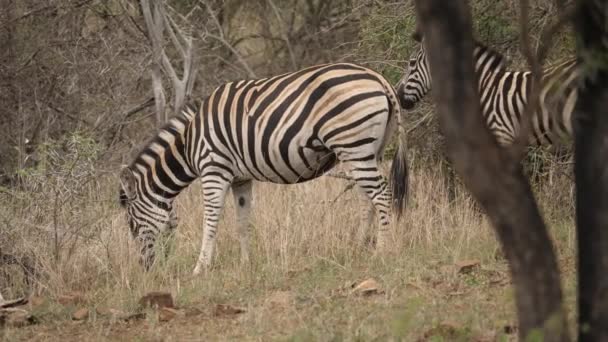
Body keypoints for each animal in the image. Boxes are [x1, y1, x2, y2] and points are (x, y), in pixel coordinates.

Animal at [119, 62, 408, 276]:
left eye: (132, 224)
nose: (145, 269)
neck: (190, 143)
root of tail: (377, 78)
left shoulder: (214, 169)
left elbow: (210, 220)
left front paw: (200, 268)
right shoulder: (240, 179)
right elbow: (242, 221)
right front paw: (246, 264)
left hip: (353, 145)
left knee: (382, 195)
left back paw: (382, 251)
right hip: (368, 150)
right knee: (367, 199)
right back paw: (359, 248)